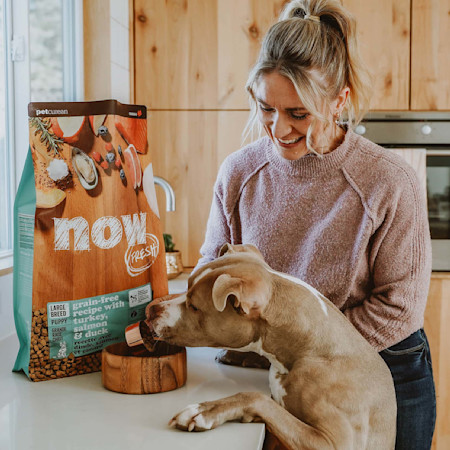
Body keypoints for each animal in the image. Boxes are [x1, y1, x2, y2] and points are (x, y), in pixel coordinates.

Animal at [146, 244, 396, 448]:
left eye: (194, 306)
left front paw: (206, 411)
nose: (150, 310)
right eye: (186, 287)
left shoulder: (336, 441)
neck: (309, 348)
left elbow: (256, 397)